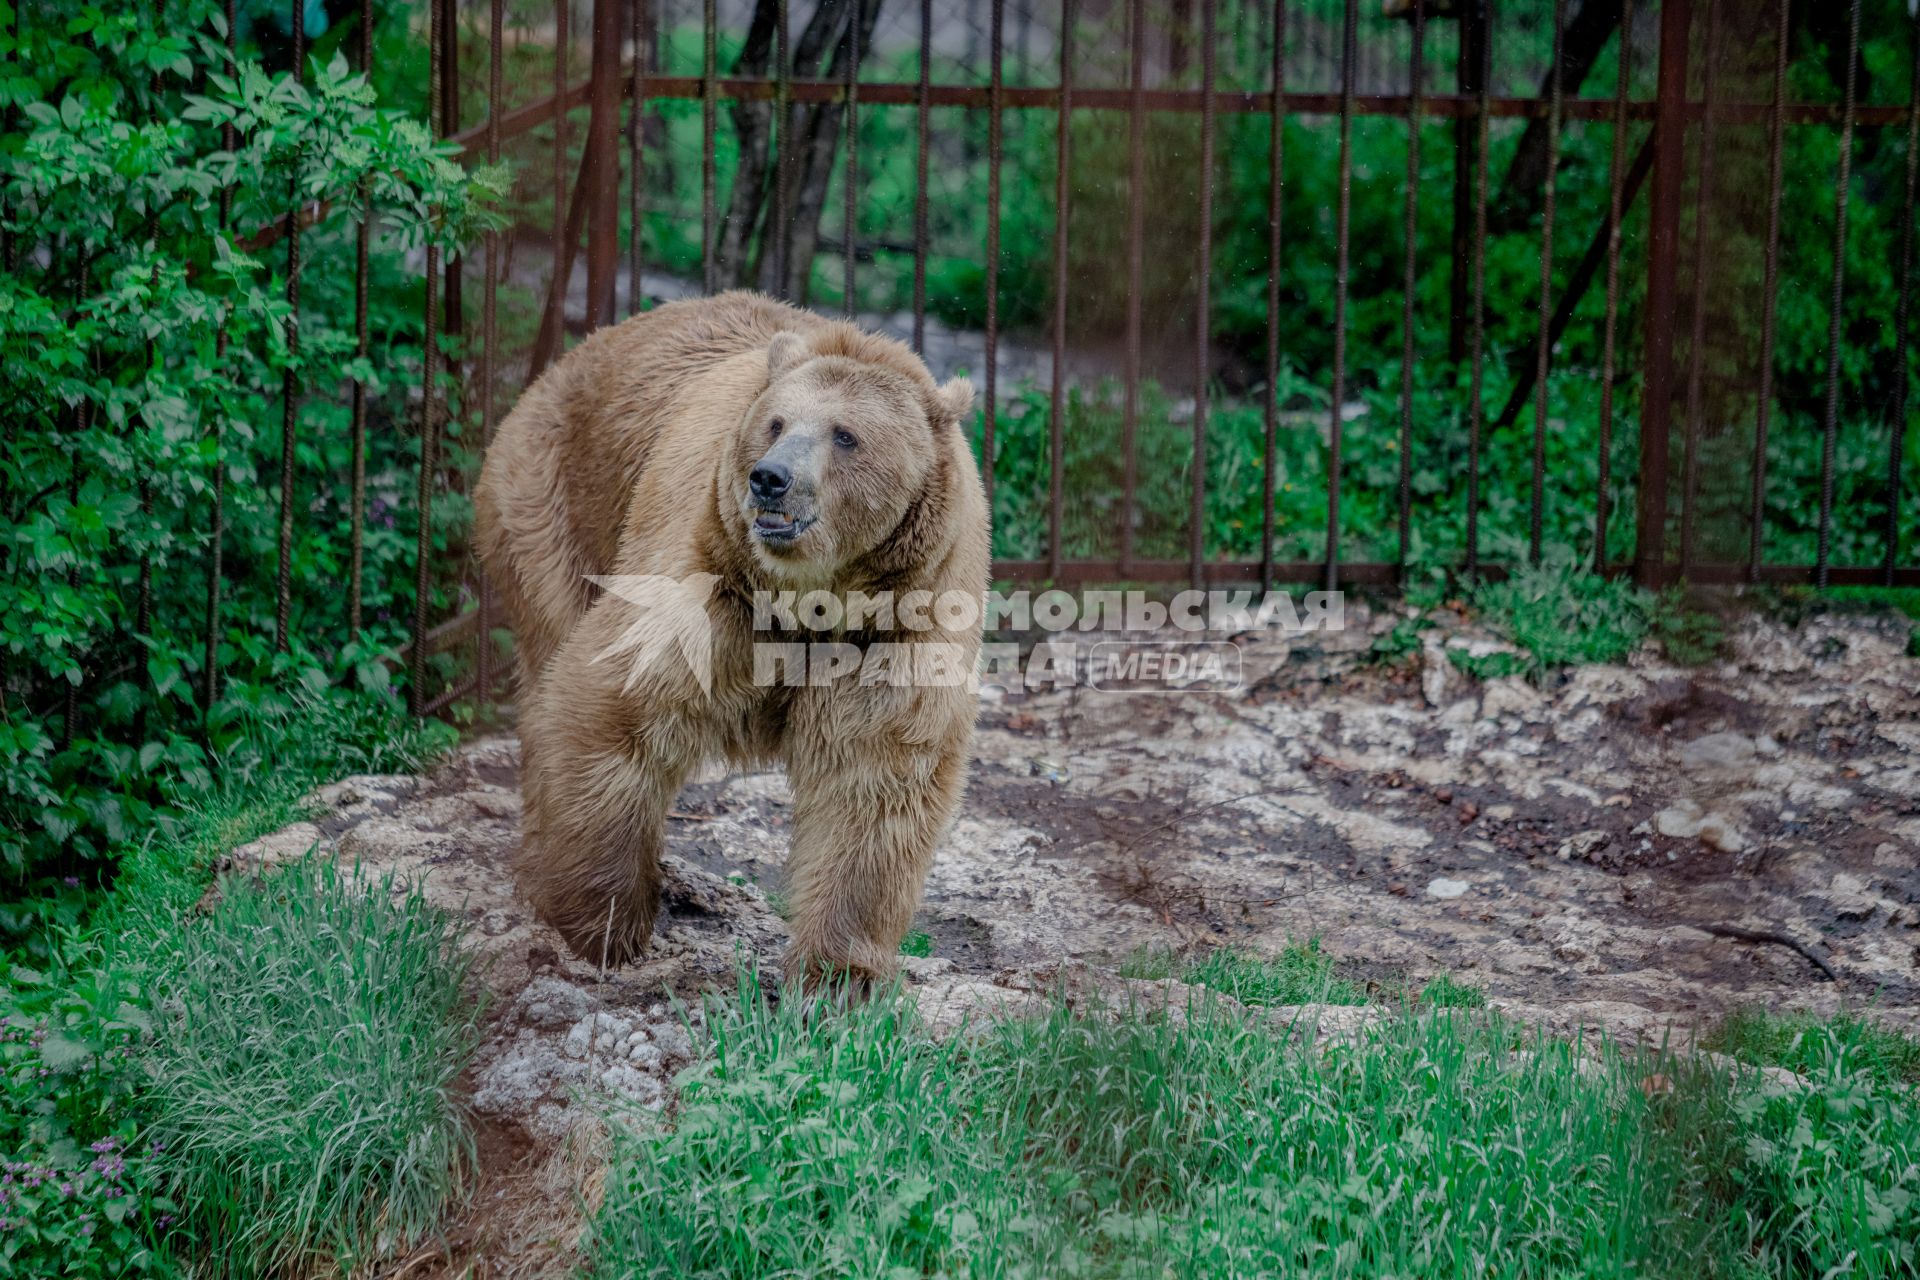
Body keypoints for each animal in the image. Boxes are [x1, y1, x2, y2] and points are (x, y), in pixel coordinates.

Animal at [472, 295, 990, 990]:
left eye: (845, 435)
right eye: (775, 423)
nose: (770, 479)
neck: (811, 599)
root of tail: (562, 365)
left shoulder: (898, 624)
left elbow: (875, 780)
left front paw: (836, 975)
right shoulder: (707, 583)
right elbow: (613, 707)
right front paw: (606, 926)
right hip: (553, 509)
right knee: (546, 679)